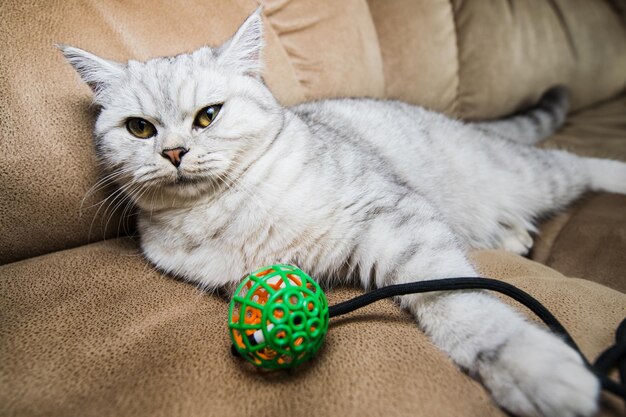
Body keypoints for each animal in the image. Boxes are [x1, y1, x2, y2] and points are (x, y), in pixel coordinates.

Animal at [59, 7, 624, 416]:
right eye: (139, 129)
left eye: (208, 116)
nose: (173, 153)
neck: (220, 208)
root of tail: (466, 124)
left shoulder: (393, 216)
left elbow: (458, 300)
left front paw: (527, 365)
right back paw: (512, 235)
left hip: (518, 171)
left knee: (574, 164)